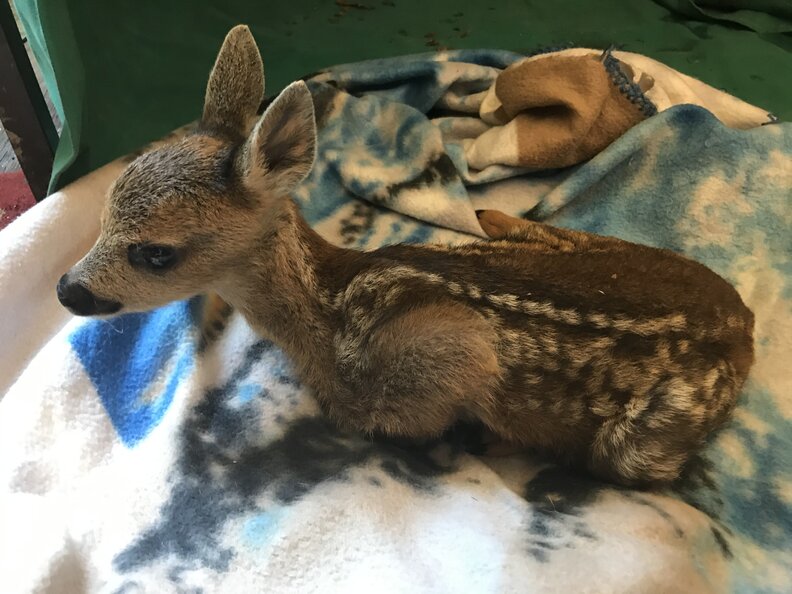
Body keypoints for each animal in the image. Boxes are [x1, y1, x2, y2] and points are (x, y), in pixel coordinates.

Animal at [56, 25, 754, 487]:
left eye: (155, 253)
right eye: (103, 213)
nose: (67, 288)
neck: (328, 309)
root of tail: (744, 324)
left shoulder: (452, 349)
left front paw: (482, 441)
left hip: (643, 442)